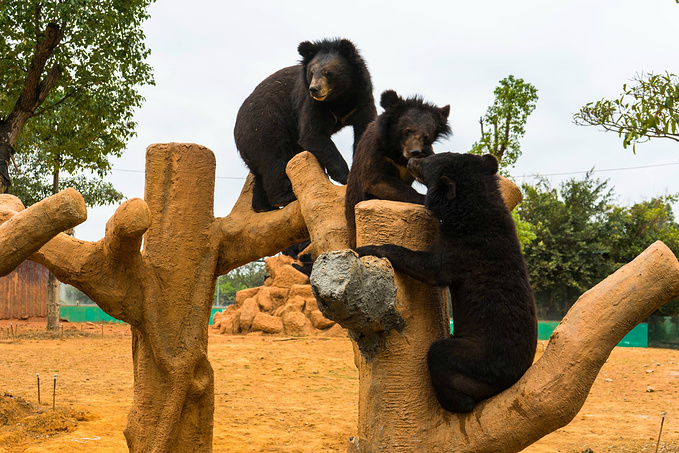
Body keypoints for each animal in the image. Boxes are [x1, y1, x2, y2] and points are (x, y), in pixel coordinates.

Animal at [235, 37, 378, 212]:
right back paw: (285, 196)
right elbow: (313, 135)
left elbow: (364, 131)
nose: (314, 89)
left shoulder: (362, 100)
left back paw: (263, 206)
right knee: (274, 158)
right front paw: (345, 176)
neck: (339, 98)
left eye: (328, 73)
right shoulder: (312, 105)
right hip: (264, 126)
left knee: (262, 171)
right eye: (312, 71)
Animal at [346, 90, 452, 247]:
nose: (415, 151)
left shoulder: (426, 153)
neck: (398, 152)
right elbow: (375, 180)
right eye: (407, 130)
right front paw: (424, 198)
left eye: (426, 136)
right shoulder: (376, 150)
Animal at [356, 153, 536, 414]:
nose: (412, 159)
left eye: (428, 162)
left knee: (441, 356)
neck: (474, 206)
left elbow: (428, 267)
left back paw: (457, 402)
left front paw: (367, 248)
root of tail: (514, 379)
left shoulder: (460, 250)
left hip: (478, 359)